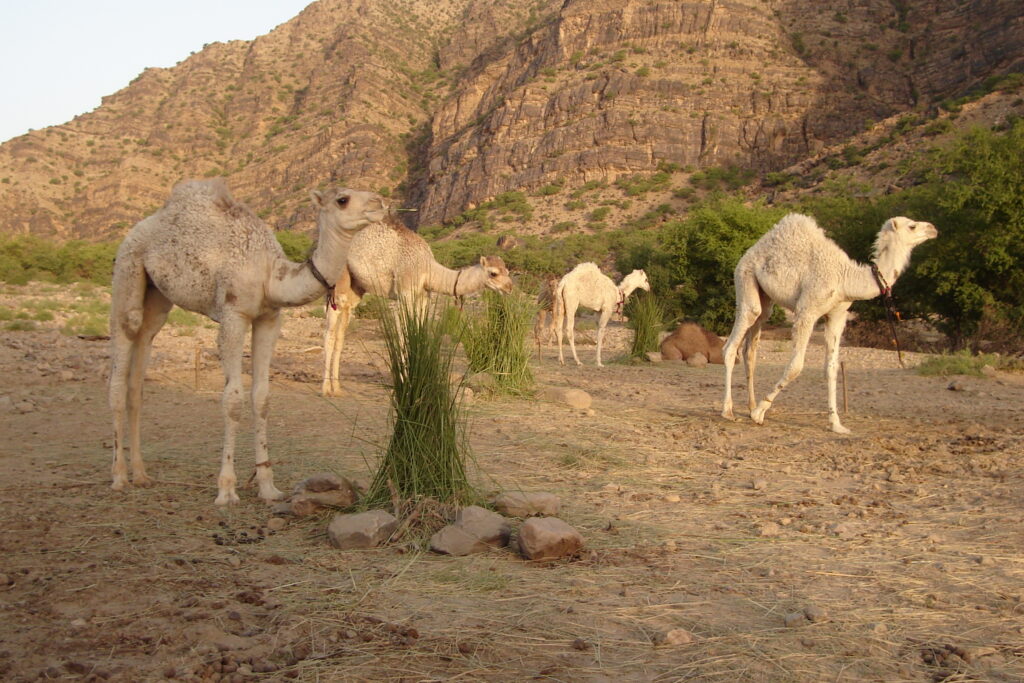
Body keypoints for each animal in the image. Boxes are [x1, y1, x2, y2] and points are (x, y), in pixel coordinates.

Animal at [109, 179, 386, 505]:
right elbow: (232, 399)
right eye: (343, 199)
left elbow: (262, 398)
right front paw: (227, 490)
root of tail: (137, 229)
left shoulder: (268, 318)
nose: (380, 203)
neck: (270, 274)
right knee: (122, 354)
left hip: (157, 296)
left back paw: (141, 474)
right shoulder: (234, 315)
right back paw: (119, 477)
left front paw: (268, 486)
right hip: (127, 270)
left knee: (139, 367)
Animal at [321, 219, 514, 396]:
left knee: (341, 331)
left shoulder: (423, 298)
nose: (509, 288)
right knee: (330, 331)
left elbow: (417, 333)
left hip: (355, 288)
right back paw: (325, 388)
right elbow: (403, 337)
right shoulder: (404, 293)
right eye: (493, 273)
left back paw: (337, 387)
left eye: (507, 271)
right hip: (339, 279)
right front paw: (403, 384)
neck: (429, 270)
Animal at [721, 213, 937, 434]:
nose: (933, 229)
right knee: (734, 340)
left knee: (750, 348)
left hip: (766, 300)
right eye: (912, 226)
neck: (845, 278)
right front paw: (759, 413)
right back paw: (728, 411)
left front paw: (836, 424)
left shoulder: (837, 315)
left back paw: (749, 406)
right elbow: (796, 366)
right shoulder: (807, 311)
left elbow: (831, 368)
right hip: (745, 277)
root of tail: (754, 248)